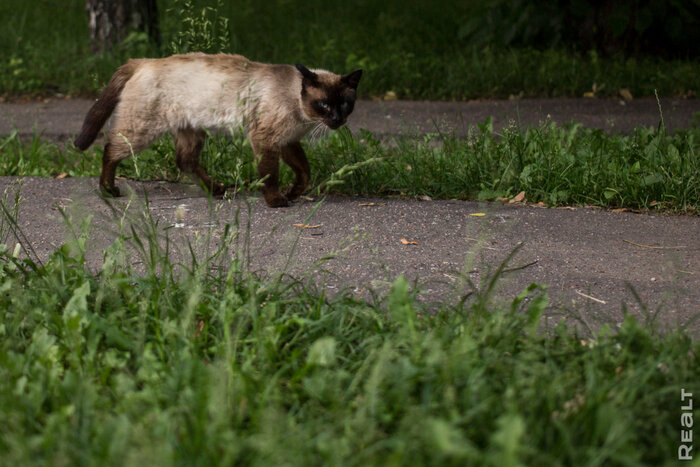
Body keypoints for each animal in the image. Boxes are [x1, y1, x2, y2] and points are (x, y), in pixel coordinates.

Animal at [74, 52, 364, 207]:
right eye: (324, 104)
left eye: (345, 104)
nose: (337, 120)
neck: (300, 113)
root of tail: (143, 61)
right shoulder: (267, 140)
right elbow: (270, 175)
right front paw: (276, 200)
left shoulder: (287, 142)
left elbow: (304, 172)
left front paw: (293, 193)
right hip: (142, 131)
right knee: (110, 150)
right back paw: (109, 190)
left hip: (191, 130)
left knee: (185, 161)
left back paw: (215, 189)